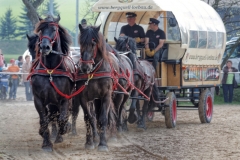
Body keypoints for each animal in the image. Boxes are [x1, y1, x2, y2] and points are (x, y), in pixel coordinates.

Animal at [29, 15, 75, 152]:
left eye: (54, 30)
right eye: (41, 30)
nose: (45, 47)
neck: (50, 70)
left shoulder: (64, 98)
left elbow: (62, 119)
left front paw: (63, 131)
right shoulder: (38, 99)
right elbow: (44, 120)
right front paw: (46, 143)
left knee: (59, 116)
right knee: (51, 116)